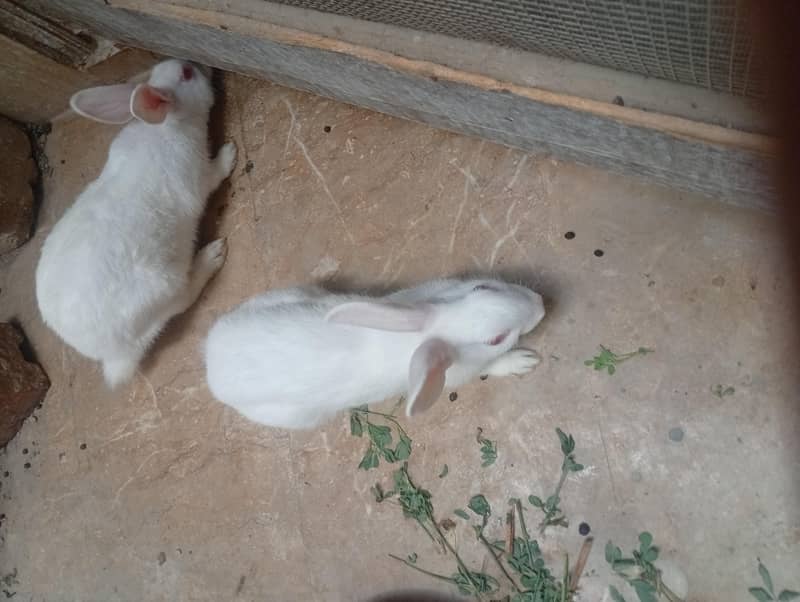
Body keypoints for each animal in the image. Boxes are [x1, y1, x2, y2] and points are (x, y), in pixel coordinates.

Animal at [36, 58, 237, 389]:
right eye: (187, 74)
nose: (202, 64)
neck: (169, 123)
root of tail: (108, 352)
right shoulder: (199, 179)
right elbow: (215, 174)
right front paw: (229, 153)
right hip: (165, 286)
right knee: (183, 299)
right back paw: (211, 256)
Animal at [205, 278, 545, 429]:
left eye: (482, 287)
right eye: (497, 338)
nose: (540, 304)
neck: (415, 338)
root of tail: (210, 360)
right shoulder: (459, 374)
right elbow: (490, 367)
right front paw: (522, 361)